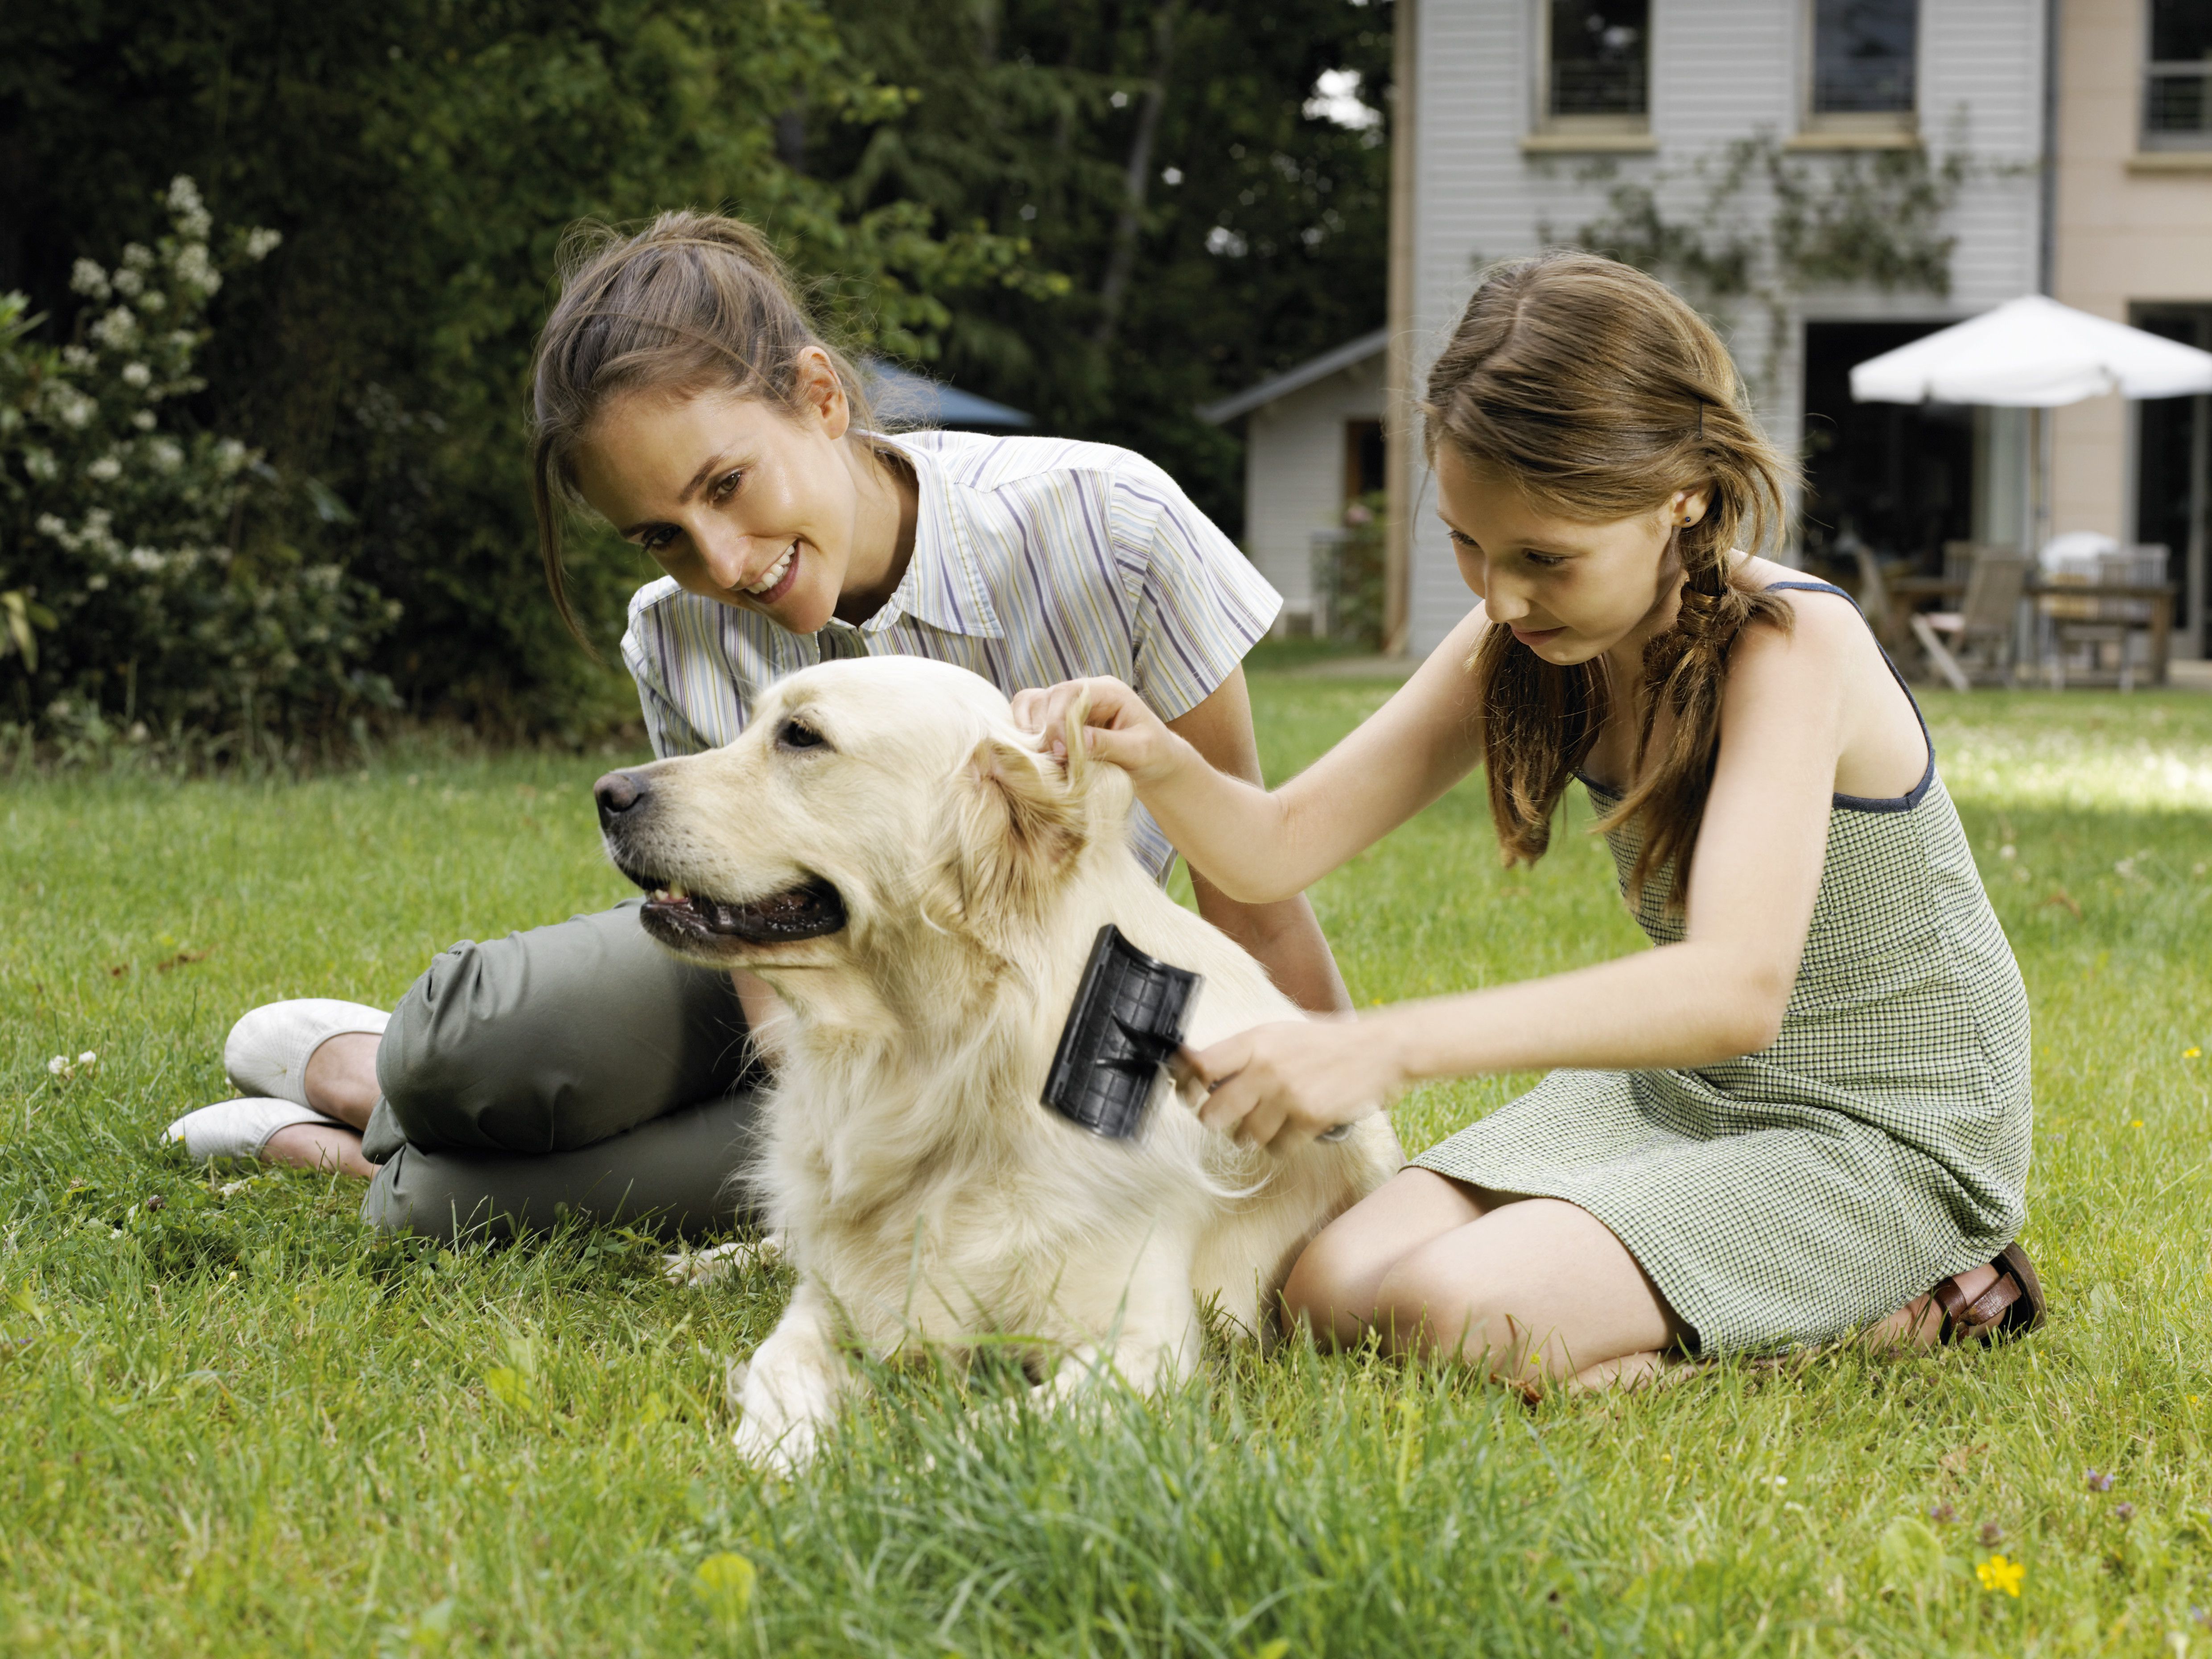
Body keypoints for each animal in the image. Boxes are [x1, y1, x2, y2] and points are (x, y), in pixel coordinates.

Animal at [597, 655, 1398, 1477]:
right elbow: (778, 1371)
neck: (952, 1064)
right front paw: (777, 1464)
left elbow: (981, 1440)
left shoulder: (1143, 1351)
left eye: (801, 736)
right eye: (751, 724)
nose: (608, 794)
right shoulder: (825, 1305)